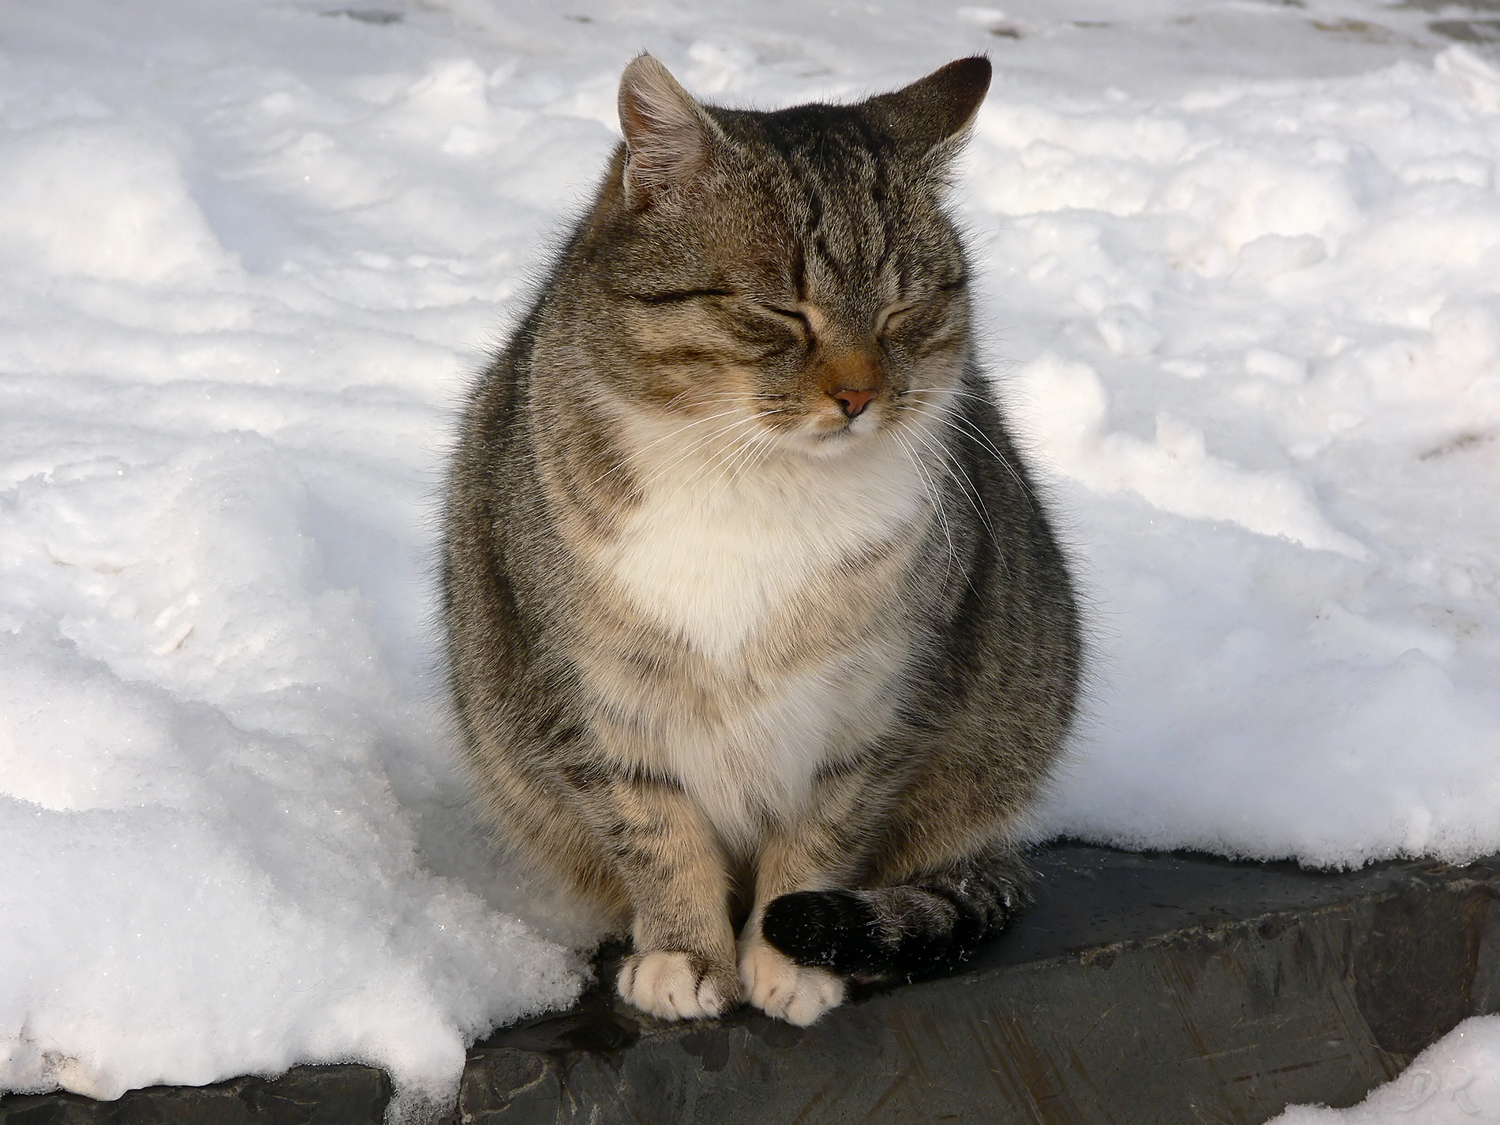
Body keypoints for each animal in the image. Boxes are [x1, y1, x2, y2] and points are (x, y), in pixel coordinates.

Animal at [438, 52, 1086, 1026]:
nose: (858, 395)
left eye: (903, 312)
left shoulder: (879, 702)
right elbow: (656, 831)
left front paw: (787, 960)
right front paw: (684, 953)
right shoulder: (592, 695)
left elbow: (820, 835)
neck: (757, 481)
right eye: (781, 311)